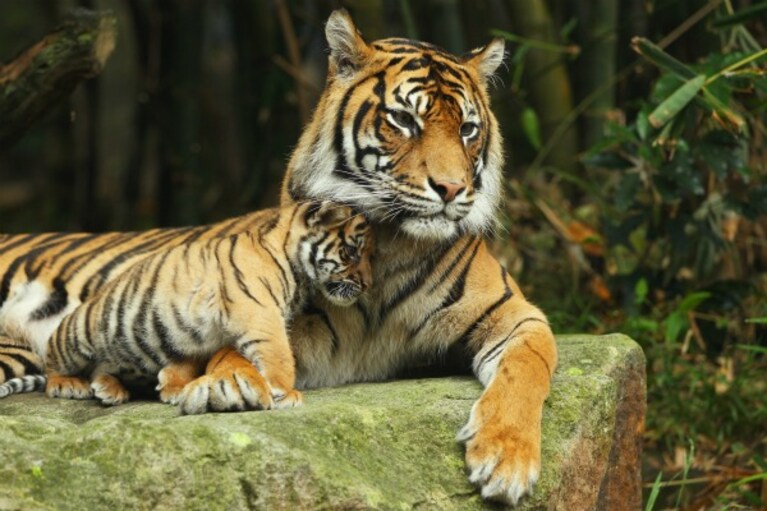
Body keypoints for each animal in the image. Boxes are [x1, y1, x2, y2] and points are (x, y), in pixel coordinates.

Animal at [0, 9, 557, 506]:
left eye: (467, 129)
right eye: (403, 120)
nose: (452, 189)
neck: (390, 243)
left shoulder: (516, 316)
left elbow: (524, 370)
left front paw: (505, 459)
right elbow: (243, 347)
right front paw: (226, 382)